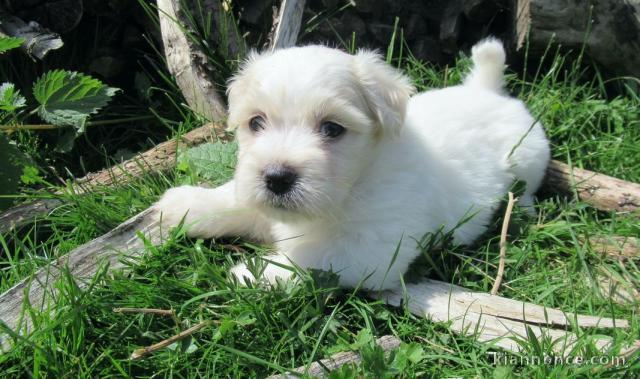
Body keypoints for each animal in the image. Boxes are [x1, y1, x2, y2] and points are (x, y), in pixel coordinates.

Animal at [156, 39, 552, 290]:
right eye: (255, 123)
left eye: (333, 129)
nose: (277, 178)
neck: (357, 182)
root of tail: (487, 89)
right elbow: (235, 201)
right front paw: (183, 205)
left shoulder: (373, 250)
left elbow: (309, 258)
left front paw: (253, 274)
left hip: (530, 156)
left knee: (528, 187)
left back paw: (523, 210)